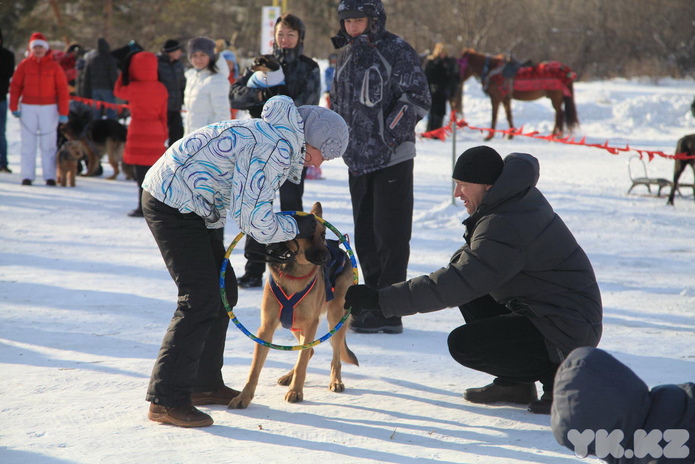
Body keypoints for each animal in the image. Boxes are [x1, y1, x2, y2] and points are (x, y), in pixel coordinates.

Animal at [228, 201, 358, 408]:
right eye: (309, 234)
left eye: (323, 234)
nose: (327, 257)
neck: (295, 274)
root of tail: (341, 252)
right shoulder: (266, 329)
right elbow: (255, 369)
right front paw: (244, 397)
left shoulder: (311, 324)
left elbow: (302, 363)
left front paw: (296, 391)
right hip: (295, 325)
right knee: (309, 351)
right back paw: (289, 376)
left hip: (334, 318)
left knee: (334, 357)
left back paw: (335, 380)